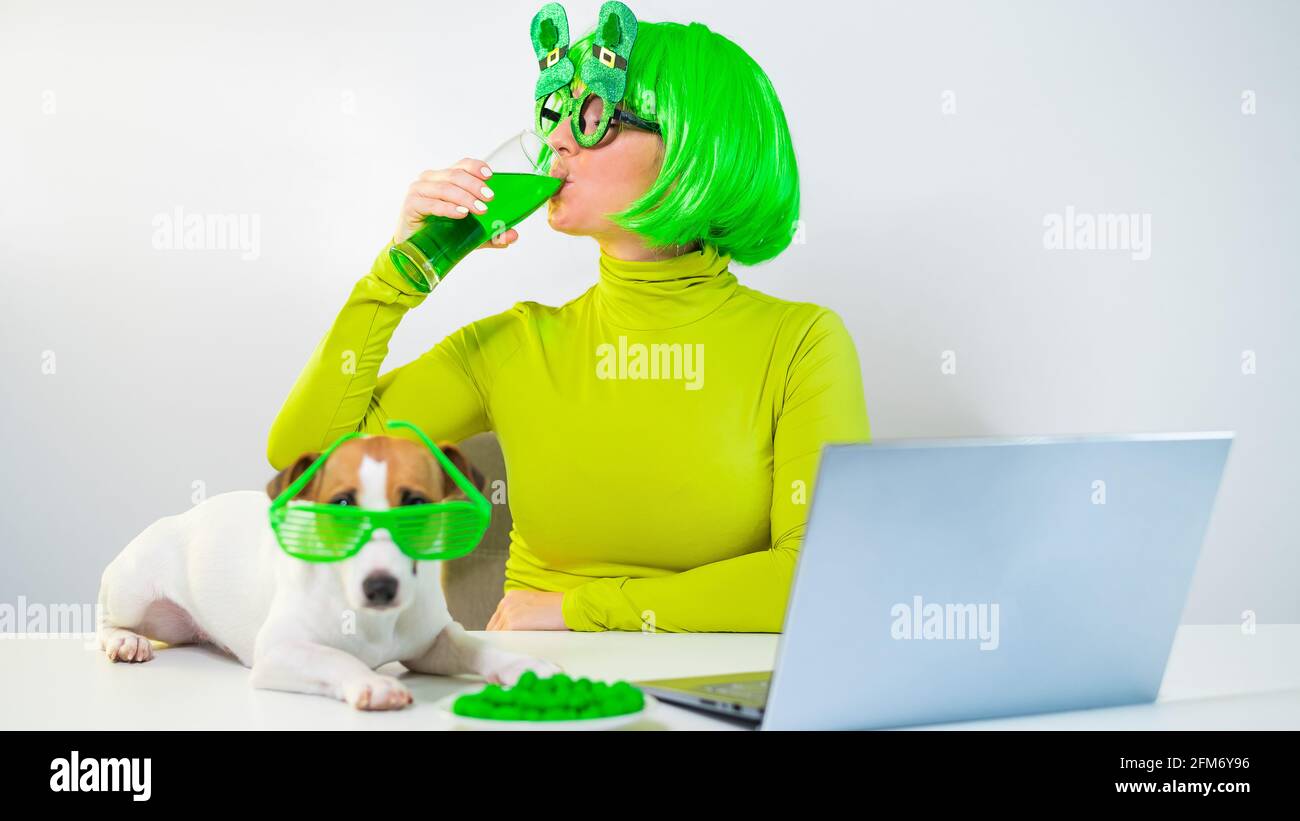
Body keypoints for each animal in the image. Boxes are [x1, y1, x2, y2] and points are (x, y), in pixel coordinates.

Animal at [98, 433, 566, 706]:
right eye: (341, 504)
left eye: (415, 504)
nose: (381, 587)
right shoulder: (280, 652)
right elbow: (334, 658)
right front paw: (372, 682)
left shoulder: (432, 643)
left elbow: (473, 645)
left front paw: (520, 665)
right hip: (132, 590)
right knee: (107, 618)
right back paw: (125, 640)